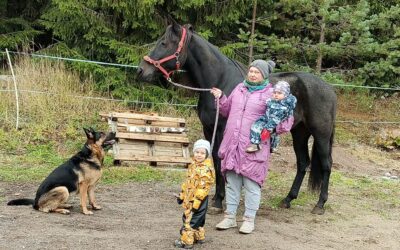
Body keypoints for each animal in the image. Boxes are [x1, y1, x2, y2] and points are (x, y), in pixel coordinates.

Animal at [138, 21, 338, 215]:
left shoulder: (221, 130)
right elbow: (214, 160)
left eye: (164, 43)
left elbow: (219, 160)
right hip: (300, 133)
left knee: (326, 164)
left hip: (321, 135)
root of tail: (329, 89)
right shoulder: (208, 129)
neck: (220, 80)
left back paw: (320, 204)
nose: (141, 70)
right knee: (303, 163)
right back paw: (288, 199)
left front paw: (219, 200)